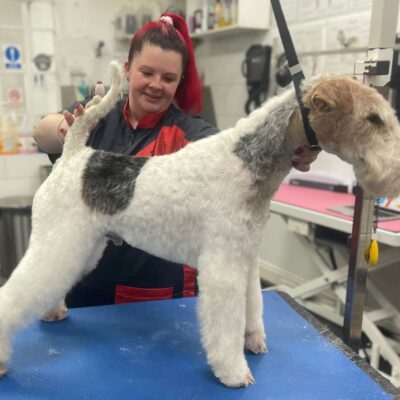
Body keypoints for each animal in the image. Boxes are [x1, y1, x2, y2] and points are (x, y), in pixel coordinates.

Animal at [0, 61, 400, 386]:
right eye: (373, 118)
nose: (394, 173)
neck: (247, 162)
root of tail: (74, 155)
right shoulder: (223, 264)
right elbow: (226, 320)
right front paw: (234, 372)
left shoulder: (246, 255)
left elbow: (253, 305)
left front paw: (254, 341)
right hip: (59, 240)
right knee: (17, 292)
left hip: (82, 245)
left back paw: (54, 311)